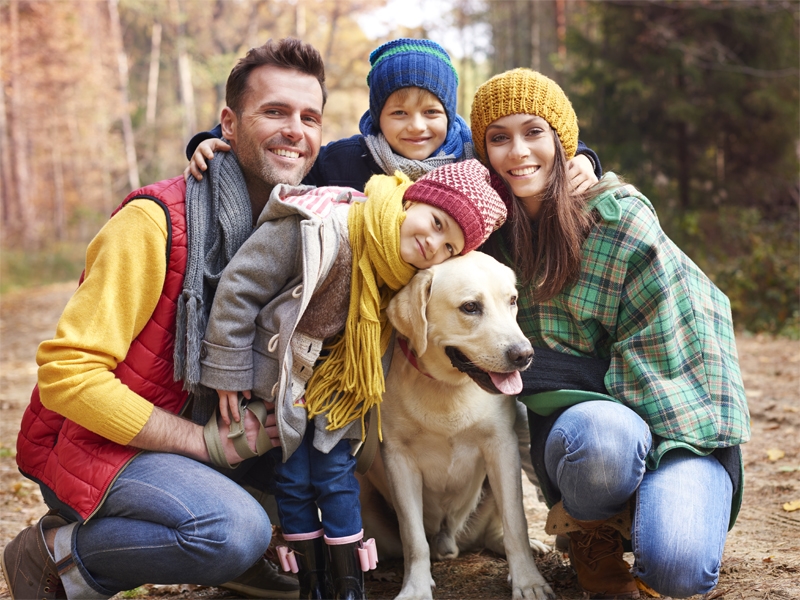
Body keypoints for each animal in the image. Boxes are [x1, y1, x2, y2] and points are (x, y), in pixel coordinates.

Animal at [360, 252, 552, 600]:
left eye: (512, 301)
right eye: (470, 307)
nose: (524, 355)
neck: (449, 388)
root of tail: (451, 544)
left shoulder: (502, 447)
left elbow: (516, 522)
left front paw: (528, 581)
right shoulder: (398, 459)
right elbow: (413, 538)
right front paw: (415, 588)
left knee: (496, 532)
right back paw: (377, 570)